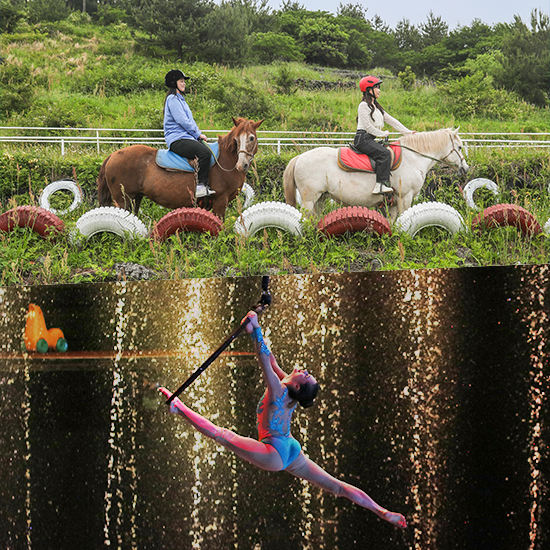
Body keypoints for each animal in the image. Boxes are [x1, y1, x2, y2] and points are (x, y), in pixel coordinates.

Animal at [98, 118, 264, 220]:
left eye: (251, 138)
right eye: (236, 140)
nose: (241, 165)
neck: (225, 160)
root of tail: (113, 155)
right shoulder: (220, 201)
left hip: (135, 198)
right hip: (123, 200)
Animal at [284, 128, 470, 219]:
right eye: (460, 147)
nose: (466, 168)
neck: (413, 157)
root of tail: (299, 157)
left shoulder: (394, 202)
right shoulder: (405, 197)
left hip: (321, 198)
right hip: (309, 199)